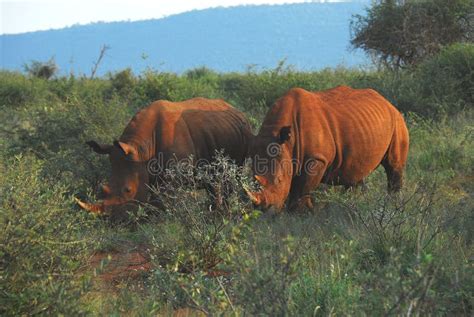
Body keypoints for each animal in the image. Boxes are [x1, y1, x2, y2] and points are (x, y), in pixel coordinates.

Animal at [77, 97, 254, 215]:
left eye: (128, 190)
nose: (110, 221)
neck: (141, 149)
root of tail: (236, 110)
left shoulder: (173, 177)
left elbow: (163, 200)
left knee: (231, 178)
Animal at [244, 85, 408, 211]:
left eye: (279, 180)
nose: (264, 210)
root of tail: (387, 102)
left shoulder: (317, 158)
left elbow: (302, 187)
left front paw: (300, 213)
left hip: (397, 121)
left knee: (393, 166)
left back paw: (393, 206)